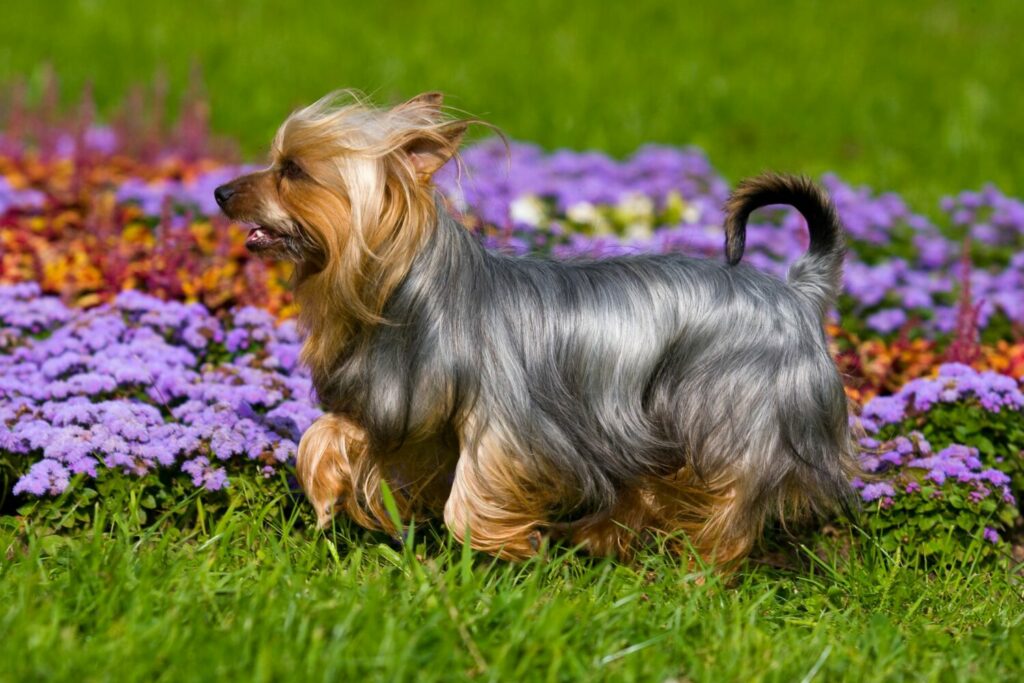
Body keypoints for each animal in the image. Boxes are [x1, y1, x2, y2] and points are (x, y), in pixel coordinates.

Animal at [218, 92, 864, 565]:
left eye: (292, 171)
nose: (221, 190)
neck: (405, 293)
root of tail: (798, 292)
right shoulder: (405, 403)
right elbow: (326, 433)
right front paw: (328, 495)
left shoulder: (507, 420)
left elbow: (470, 496)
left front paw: (509, 548)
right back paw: (600, 540)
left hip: (734, 413)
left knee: (732, 501)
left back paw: (698, 572)